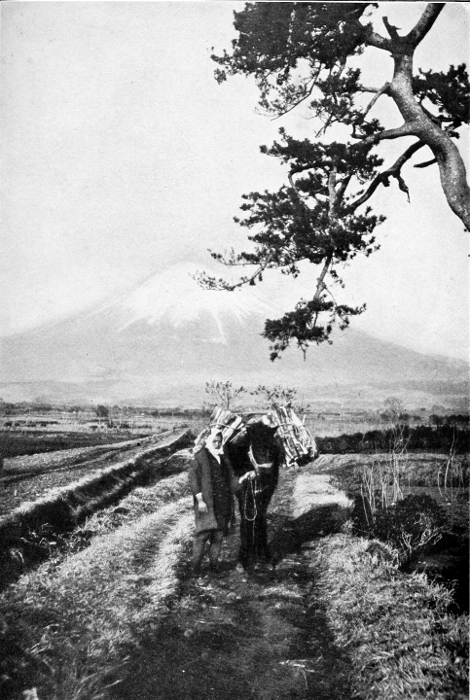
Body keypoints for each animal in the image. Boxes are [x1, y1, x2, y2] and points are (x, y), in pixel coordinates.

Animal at [226, 419, 285, 571]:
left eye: (273, 447)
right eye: (254, 447)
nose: (265, 472)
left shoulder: (267, 493)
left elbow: (260, 519)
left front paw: (263, 555)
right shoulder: (240, 492)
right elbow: (245, 521)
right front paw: (242, 558)